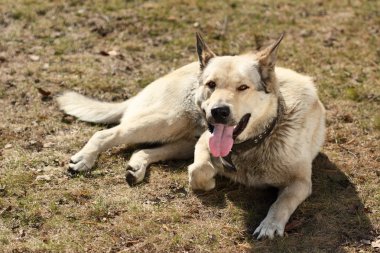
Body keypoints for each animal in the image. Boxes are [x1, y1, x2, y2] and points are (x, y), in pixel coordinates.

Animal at [58, 33, 326, 239]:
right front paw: (211, 179)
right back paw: (84, 159)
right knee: (106, 133)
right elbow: (200, 169)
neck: (257, 141)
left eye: (243, 87)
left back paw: (136, 167)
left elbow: (281, 203)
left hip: (180, 139)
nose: (219, 111)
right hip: (167, 121)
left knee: (142, 149)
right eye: (211, 84)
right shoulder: (204, 142)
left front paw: (270, 225)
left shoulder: (300, 183)